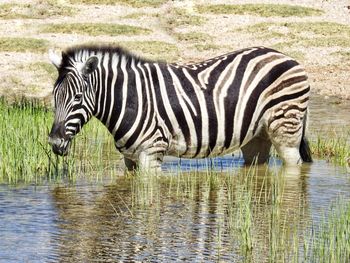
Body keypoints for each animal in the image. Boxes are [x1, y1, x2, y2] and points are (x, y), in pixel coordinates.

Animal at [48, 44, 312, 173]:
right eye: (54, 97)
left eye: (78, 98)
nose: (55, 143)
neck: (130, 99)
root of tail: (285, 56)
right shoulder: (129, 158)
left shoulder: (151, 154)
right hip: (257, 135)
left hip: (286, 126)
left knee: (294, 166)